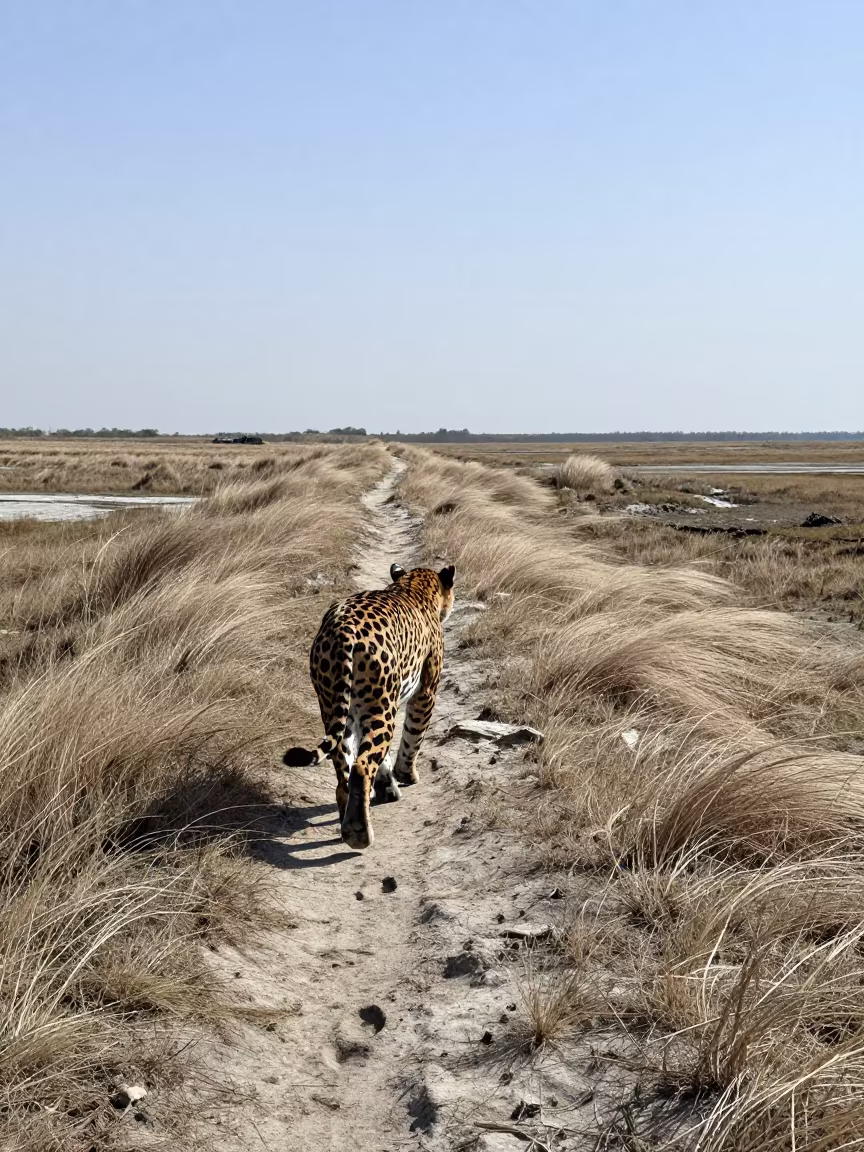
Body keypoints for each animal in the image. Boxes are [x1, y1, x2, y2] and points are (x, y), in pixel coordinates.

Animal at [283, 562, 456, 850]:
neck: (413, 585)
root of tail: (342, 631)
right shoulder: (426, 694)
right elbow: (413, 737)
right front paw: (406, 775)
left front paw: (388, 786)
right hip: (381, 708)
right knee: (361, 767)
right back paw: (360, 833)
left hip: (334, 708)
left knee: (344, 769)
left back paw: (347, 824)